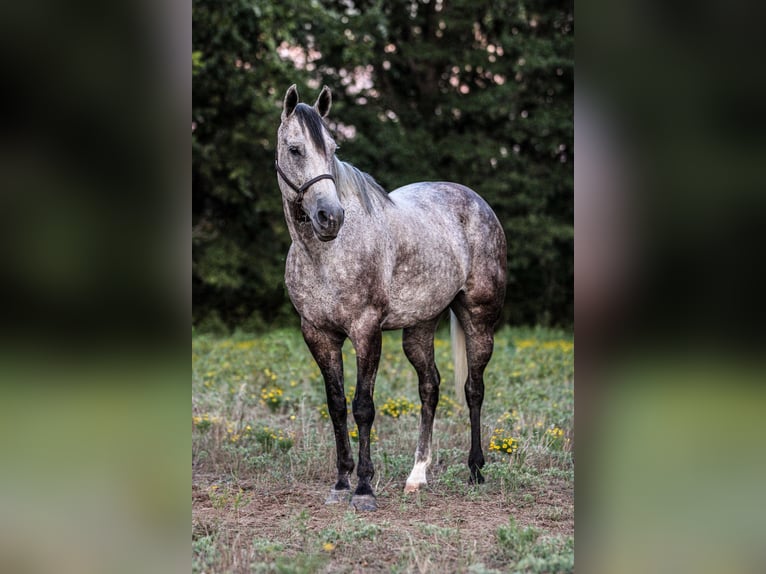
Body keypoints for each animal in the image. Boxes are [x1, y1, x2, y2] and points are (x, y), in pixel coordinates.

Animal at [272, 85, 508, 512]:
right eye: (295, 149)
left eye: (333, 148)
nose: (330, 217)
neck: (326, 255)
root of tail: (476, 201)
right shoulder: (318, 334)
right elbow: (337, 406)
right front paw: (341, 483)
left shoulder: (366, 331)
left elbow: (363, 407)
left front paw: (364, 489)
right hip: (420, 327)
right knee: (430, 387)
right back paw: (417, 476)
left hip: (479, 320)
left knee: (473, 389)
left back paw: (476, 469)